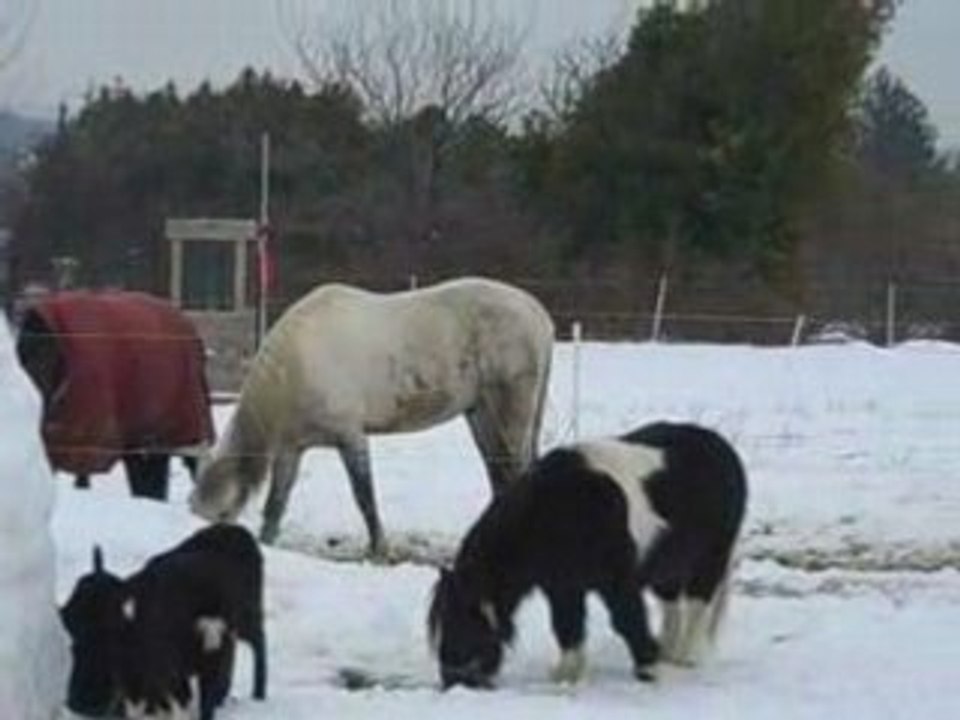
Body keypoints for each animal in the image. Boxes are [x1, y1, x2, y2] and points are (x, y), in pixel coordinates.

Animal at [189, 277, 554, 558]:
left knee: (512, 471)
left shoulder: (350, 435)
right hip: (481, 414)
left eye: (222, 515)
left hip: (509, 414)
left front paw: (379, 547)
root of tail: (539, 315)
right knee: (498, 473)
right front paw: (267, 541)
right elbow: (276, 502)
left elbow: (364, 495)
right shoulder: (292, 447)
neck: (292, 369)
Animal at [427, 421, 748, 689]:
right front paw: (567, 676)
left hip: (711, 557)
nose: (452, 681)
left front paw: (648, 669)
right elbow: (567, 626)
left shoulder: (617, 581)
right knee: (672, 605)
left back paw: (686, 657)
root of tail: (723, 448)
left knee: (698, 604)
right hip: (666, 567)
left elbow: (626, 619)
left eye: (461, 624)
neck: (553, 512)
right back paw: (668, 652)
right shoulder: (561, 587)